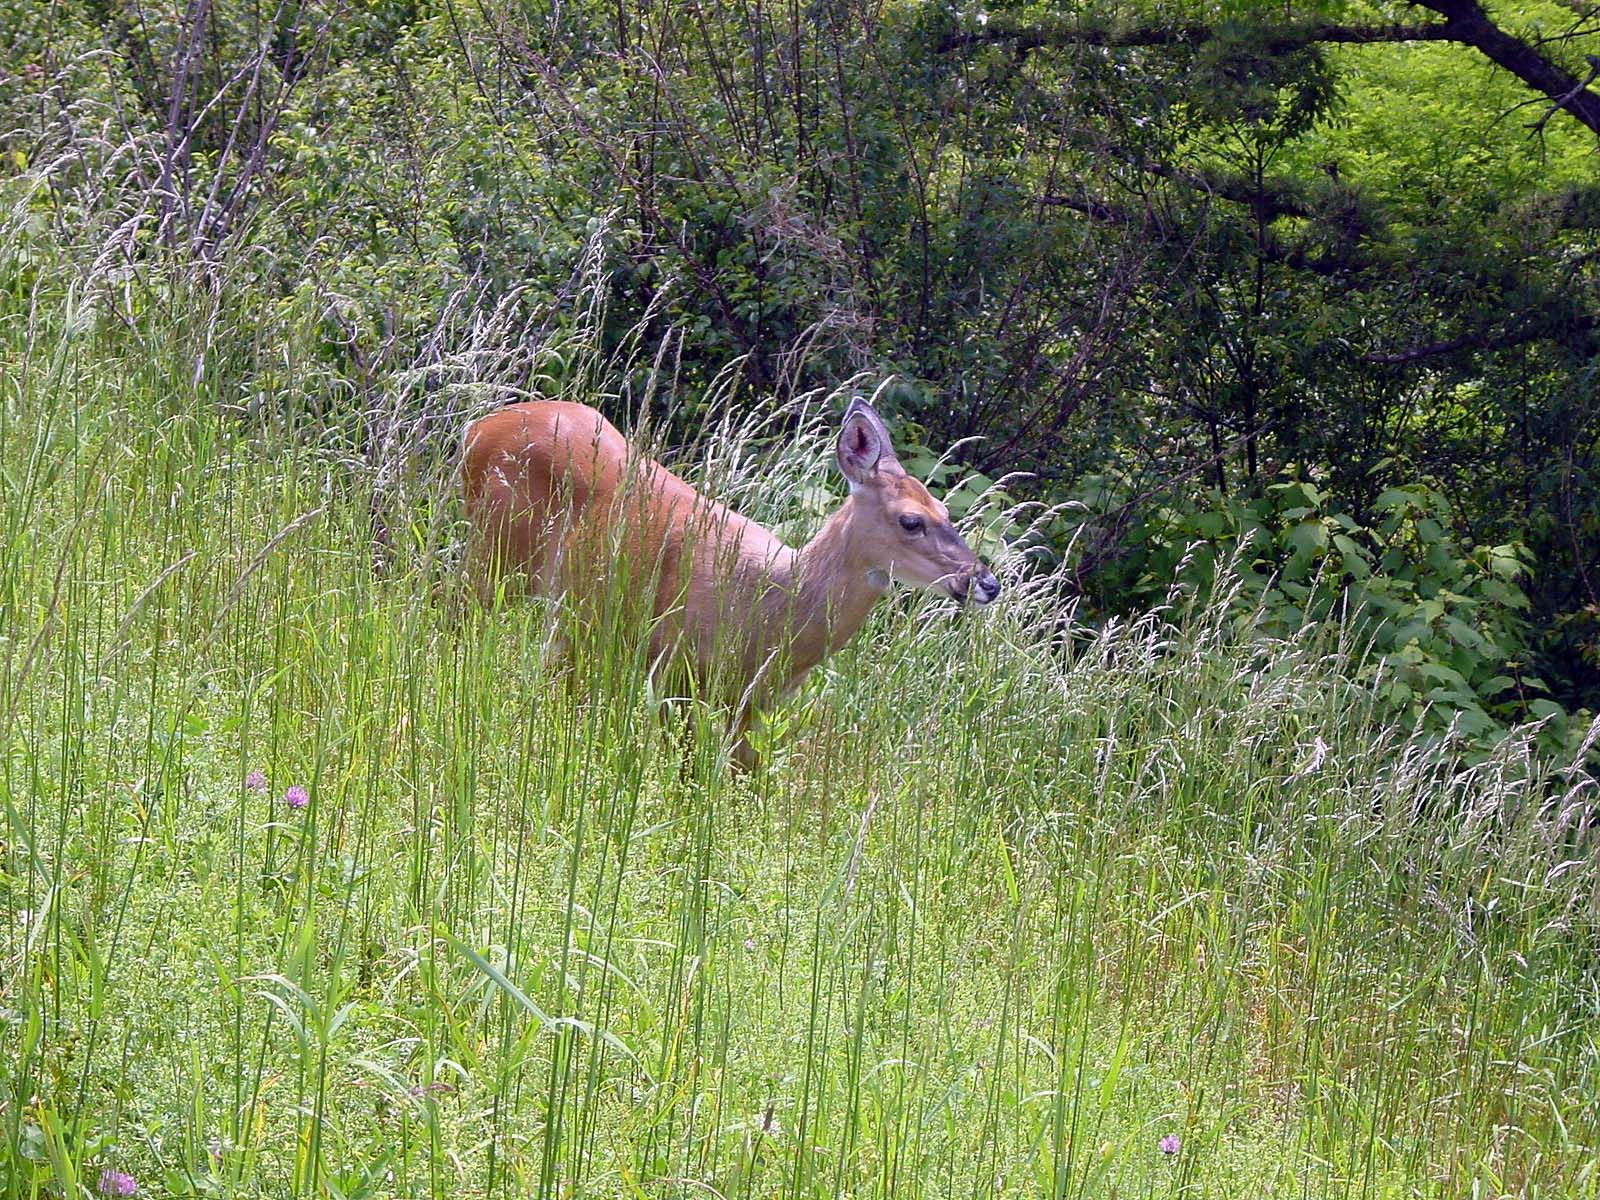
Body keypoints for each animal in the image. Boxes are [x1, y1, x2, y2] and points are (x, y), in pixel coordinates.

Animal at [457, 396, 998, 771]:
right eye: (911, 521)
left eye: (946, 510)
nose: (986, 582)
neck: (770, 609)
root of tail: (477, 428)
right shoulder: (672, 668)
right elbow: (688, 771)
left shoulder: (758, 701)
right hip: (494, 553)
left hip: (571, 611)